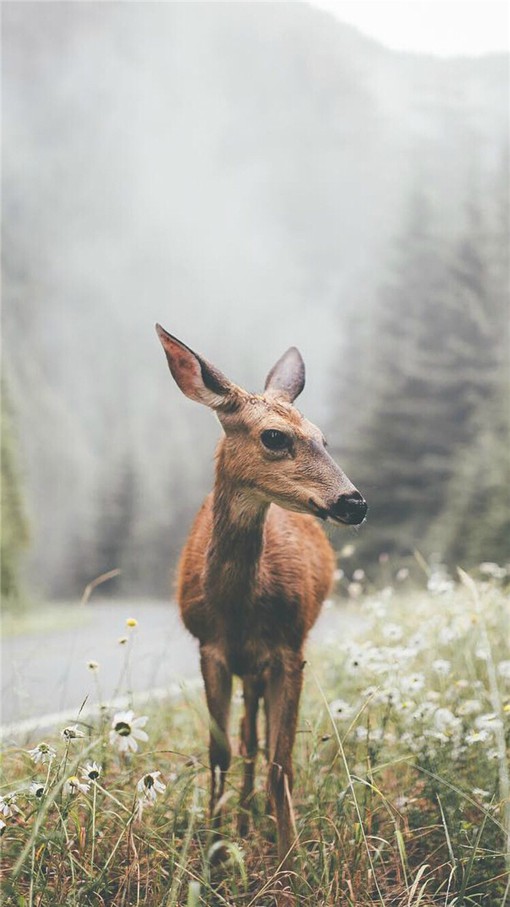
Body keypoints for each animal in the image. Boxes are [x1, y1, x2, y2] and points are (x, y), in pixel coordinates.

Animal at [154, 324, 366, 892]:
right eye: (274, 437)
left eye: (323, 438)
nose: (354, 502)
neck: (238, 610)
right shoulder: (209, 648)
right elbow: (220, 751)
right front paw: (213, 853)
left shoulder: (290, 649)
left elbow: (281, 758)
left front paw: (291, 863)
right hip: (246, 667)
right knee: (247, 737)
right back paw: (245, 819)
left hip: (270, 661)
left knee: (263, 740)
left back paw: (260, 819)